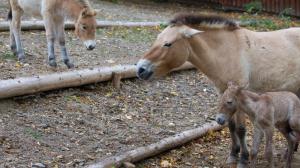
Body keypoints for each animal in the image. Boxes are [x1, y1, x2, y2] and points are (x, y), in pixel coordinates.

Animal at [137, 13, 300, 168]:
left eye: (168, 44)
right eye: (158, 39)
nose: (140, 69)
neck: (227, 51)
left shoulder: (239, 97)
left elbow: (241, 129)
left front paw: (243, 159)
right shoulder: (223, 94)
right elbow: (231, 126)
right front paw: (233, 155)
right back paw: (290, 151)